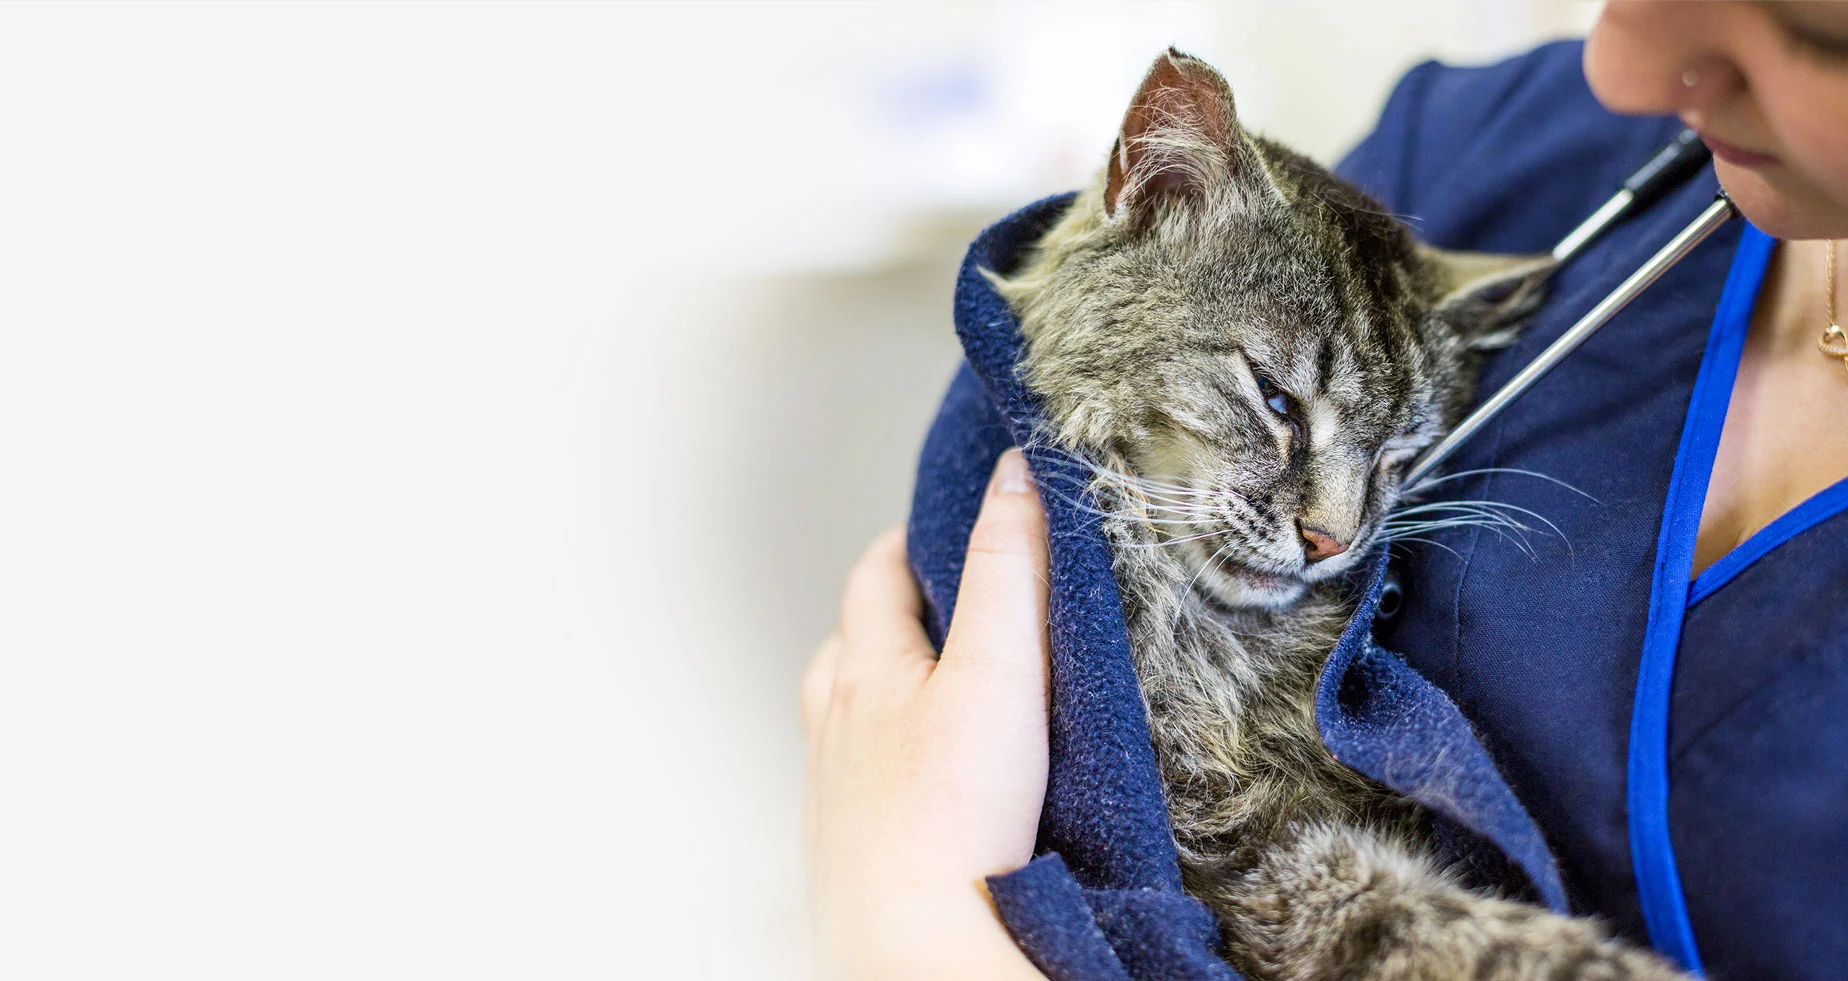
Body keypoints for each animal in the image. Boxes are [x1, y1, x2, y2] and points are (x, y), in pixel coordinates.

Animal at [990, 51, 1692, 981]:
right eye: (1276, 400)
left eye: (1399, 454)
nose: (1332, 539)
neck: (1223, 645)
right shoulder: (1236, 848)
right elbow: (1458, 935)